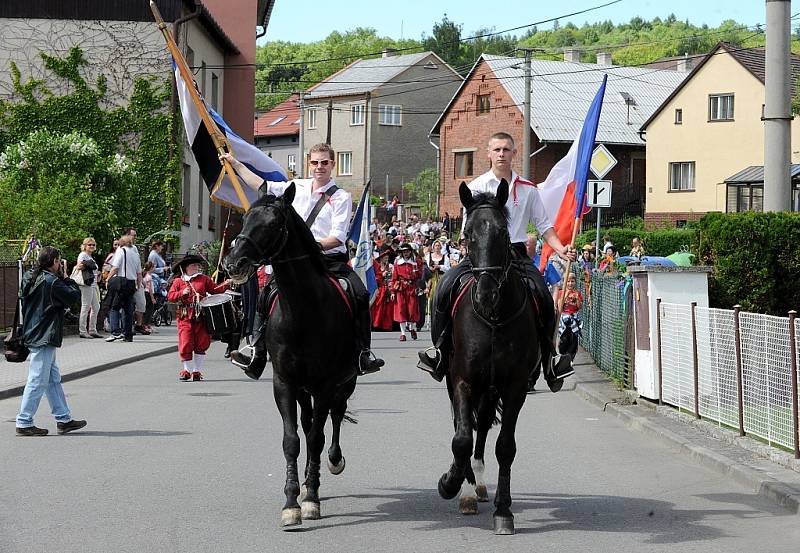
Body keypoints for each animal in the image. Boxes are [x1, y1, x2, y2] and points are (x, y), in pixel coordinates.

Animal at [220, 187, 354, 532]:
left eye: (273, 224)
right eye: (245, 217)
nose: (233, 263)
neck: (302, 310)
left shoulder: (325, 383)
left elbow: (318, 437)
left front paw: (311, 500)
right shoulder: (284, 383)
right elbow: (293, 440)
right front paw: (293, 501)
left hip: (344, 382)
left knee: (335, 417)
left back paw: (332, 463)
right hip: (303, 390)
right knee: (307, 425)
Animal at [438, 181, 544, 536]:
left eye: (501, 232)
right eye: (468, 233)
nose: (486, 294)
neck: (493, 317)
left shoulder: (514, 387)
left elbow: (504, 447)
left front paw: (504, 511)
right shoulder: (462, 380)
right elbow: (461, 438)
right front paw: (451, 484)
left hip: (491, 387)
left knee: (482, 425)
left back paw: (481, 485)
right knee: (467, 428)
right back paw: (469, 488)